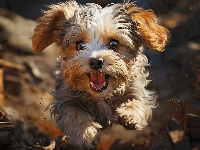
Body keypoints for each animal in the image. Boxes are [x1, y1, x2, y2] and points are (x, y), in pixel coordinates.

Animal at [32, 0, 170, 149]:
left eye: (113, 43)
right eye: (80, 45)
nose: (95, 61)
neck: (102, 96)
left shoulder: (137, 87)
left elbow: (137, 100)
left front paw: (130, 114)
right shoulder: (65, 97)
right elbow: (73, 113)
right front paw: (86, 134)